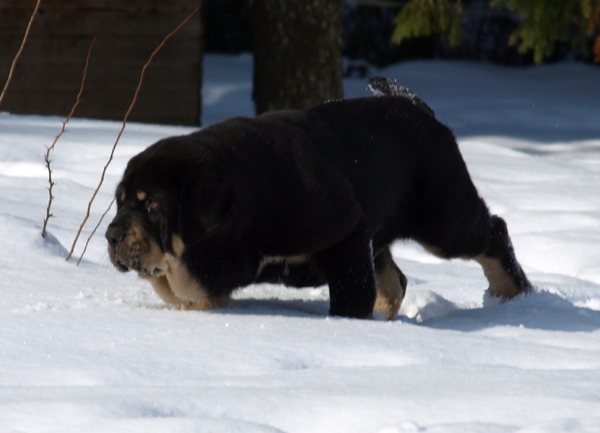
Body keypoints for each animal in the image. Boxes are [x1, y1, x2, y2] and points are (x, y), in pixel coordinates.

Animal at [105, 80, 532, 318]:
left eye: (153, 204)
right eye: (120, 202)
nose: (111, 235)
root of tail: (421, 109)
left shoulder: (345, 231)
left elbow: (351, 294)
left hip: (443, 220)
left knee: (492, 234)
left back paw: (516, 296)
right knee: (393, 280)